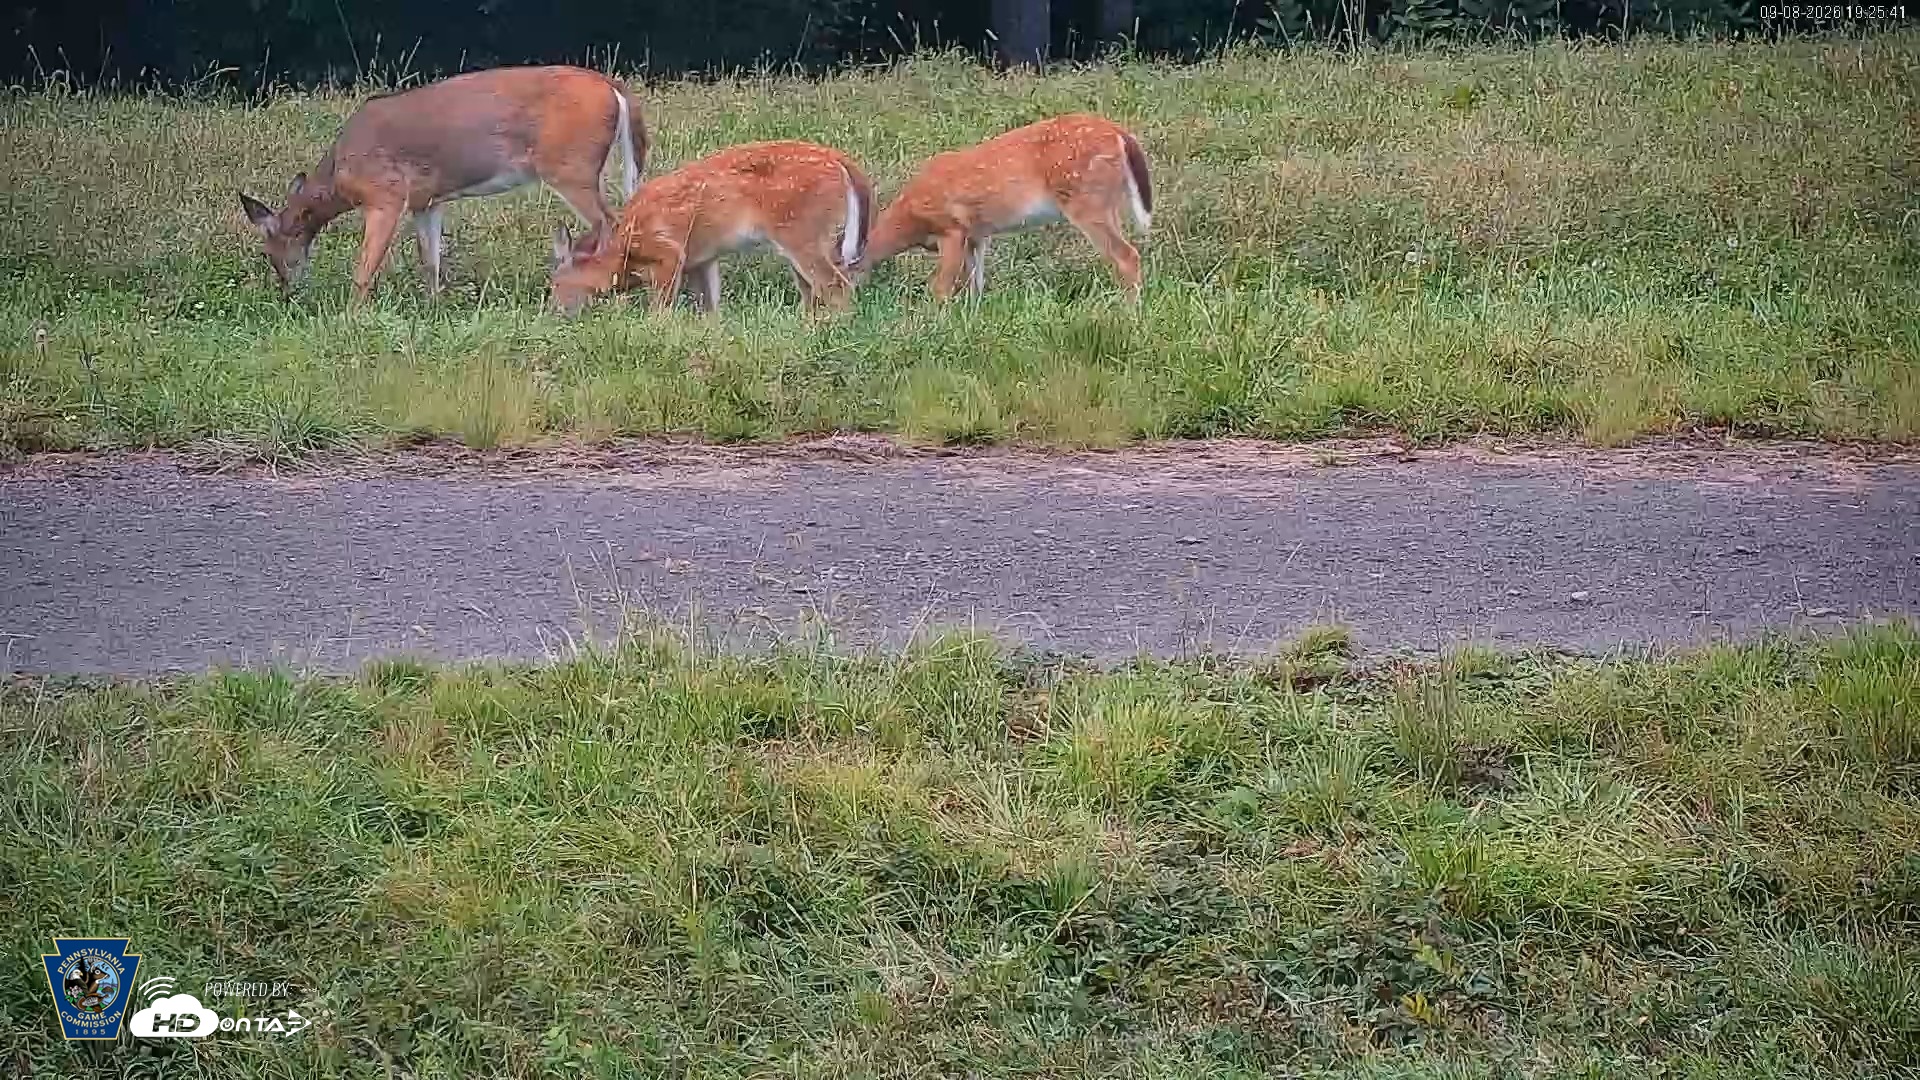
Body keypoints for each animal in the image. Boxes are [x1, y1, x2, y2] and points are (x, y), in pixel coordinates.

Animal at [239, 65, 648, 302]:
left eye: (268, 251)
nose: (287, 292)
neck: (339, 175)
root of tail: (615, 88)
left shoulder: (387, 193)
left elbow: (365, 268)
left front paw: (352, 315)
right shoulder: (427, 200)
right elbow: (430, 260)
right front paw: (433, 306)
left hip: (570, 166)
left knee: (610, 222)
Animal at [548, 140, 874, 317]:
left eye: (556, 285)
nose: (556, 312)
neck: (622, 254)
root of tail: (842, 163)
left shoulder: (669, 253)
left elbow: (661, 308)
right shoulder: (702, 260)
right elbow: (710, 307)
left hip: (802, 233)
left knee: (836, 286)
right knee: (817, 290)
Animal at [852, 113, 1151, 302]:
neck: (910, 217)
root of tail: (1120, 135)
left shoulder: (951, 228)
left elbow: (941, 287)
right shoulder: (977, 235)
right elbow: (976, 283)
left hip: (1086, 201)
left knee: (1127, 255)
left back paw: (1128, 312)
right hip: (1107, 203)